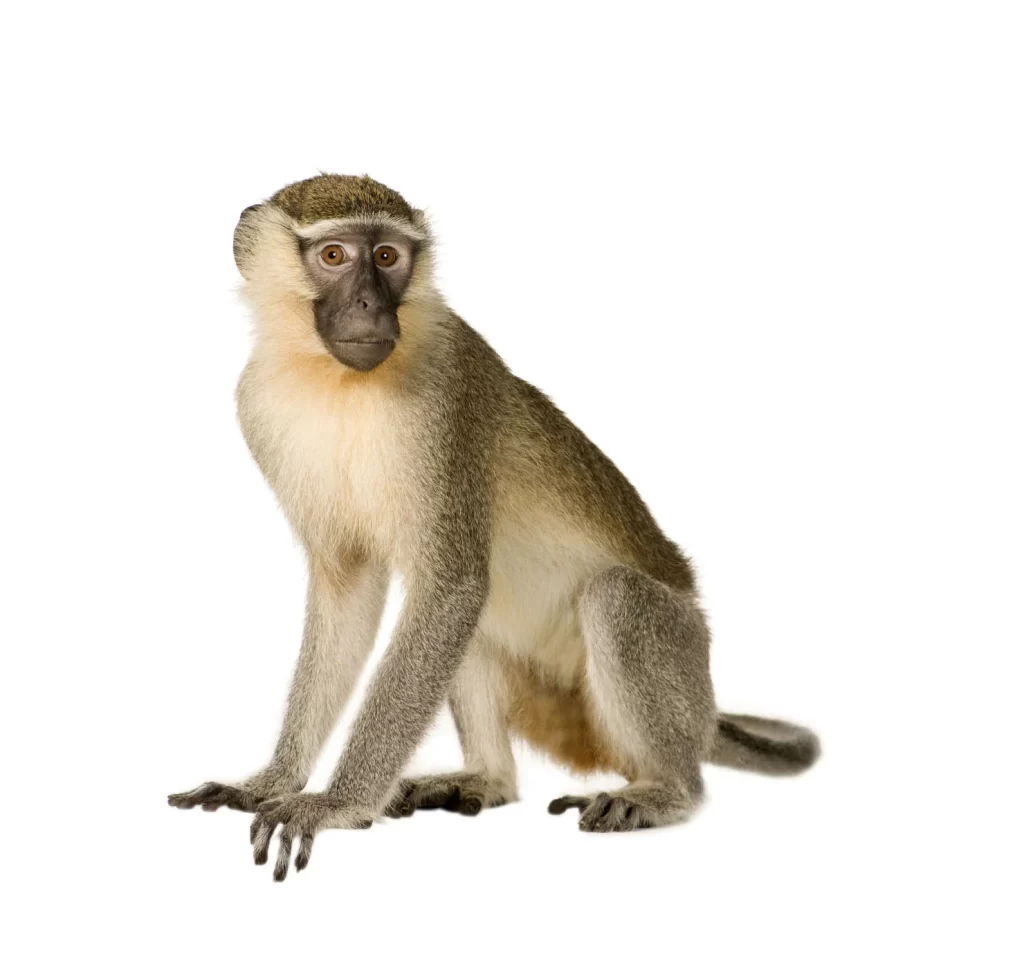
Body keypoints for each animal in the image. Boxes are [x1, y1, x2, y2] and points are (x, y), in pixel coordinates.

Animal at [168, 174, 819, 881]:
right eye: (334, 256)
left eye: (389, 257)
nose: (370, 304)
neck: (334, 379)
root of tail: (703, 710)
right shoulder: (257, 404)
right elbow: (352, 591)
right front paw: (271, 782)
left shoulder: (444, 397)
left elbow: (451, 586)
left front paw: (335, 804)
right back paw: (487, 778)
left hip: (677, 657)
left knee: (612, 598)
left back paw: (667, 790)